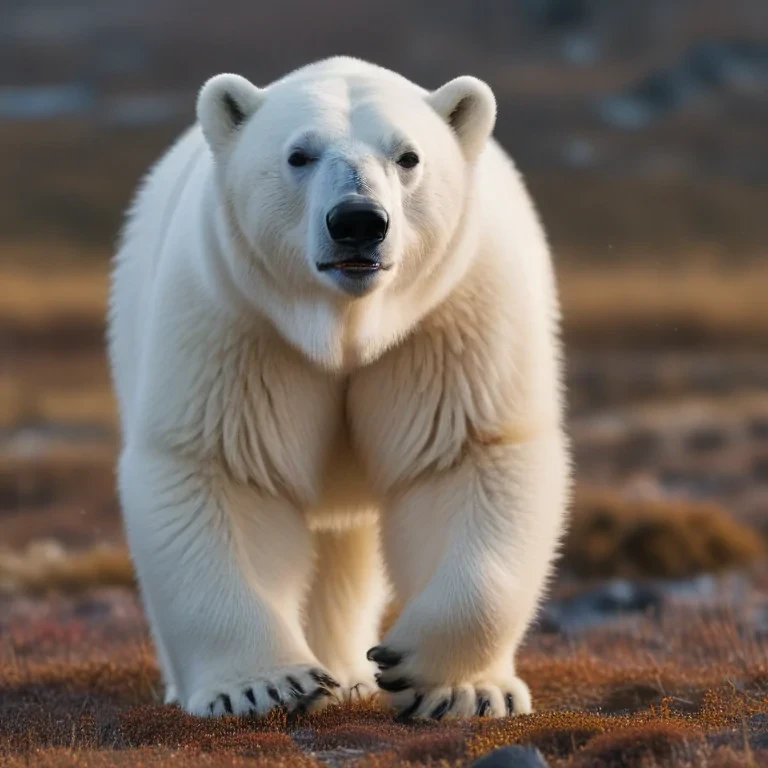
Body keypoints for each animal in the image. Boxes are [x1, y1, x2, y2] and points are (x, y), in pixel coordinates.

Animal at [108, 56, 570, 720]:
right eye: (298, 154)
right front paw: (262, 686)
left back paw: (350, 673)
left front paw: (454, 686)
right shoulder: (240, 323)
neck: (346, 326)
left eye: (408, 155)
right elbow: (222, 468)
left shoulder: (452, 318)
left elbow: (466, 459)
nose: (358, 221)